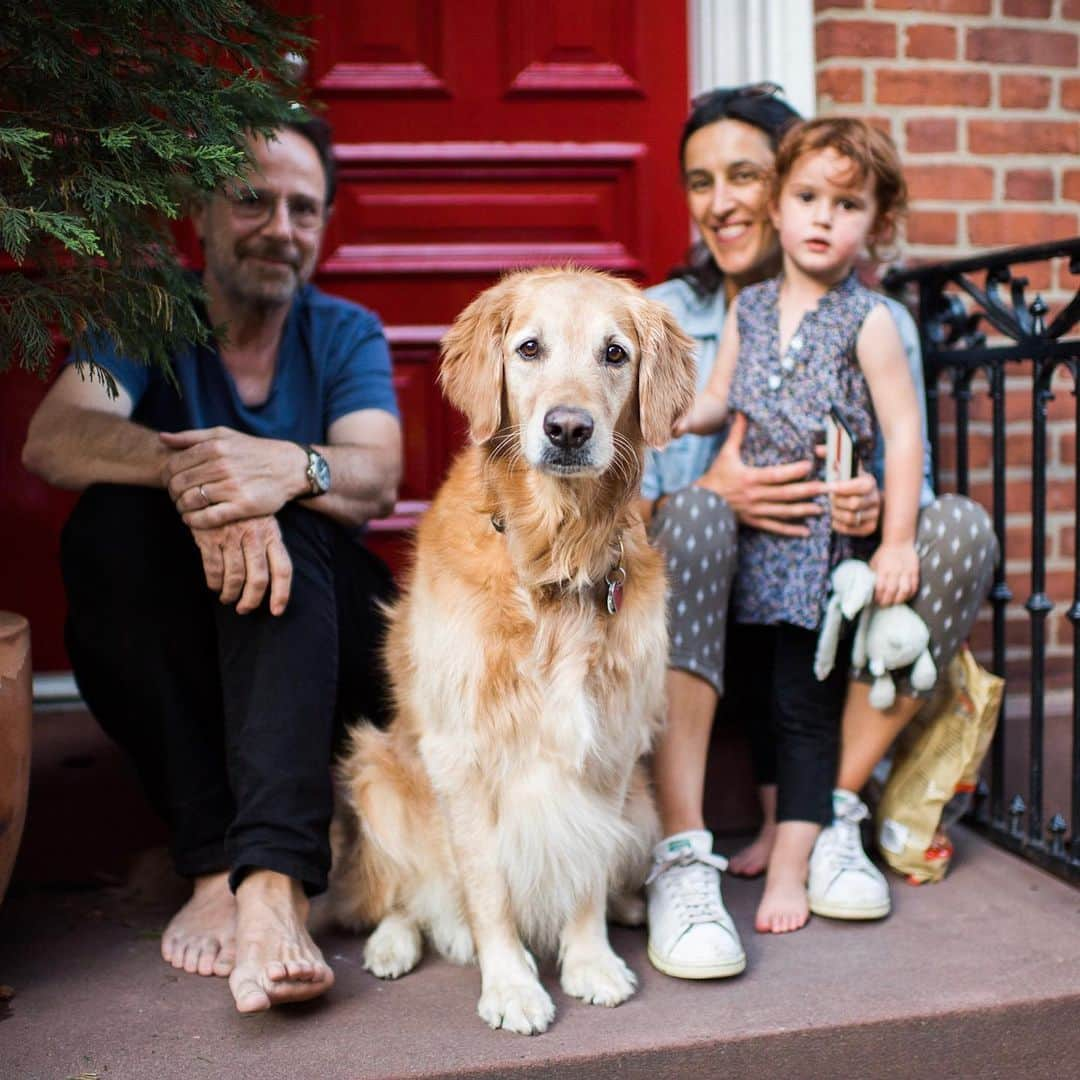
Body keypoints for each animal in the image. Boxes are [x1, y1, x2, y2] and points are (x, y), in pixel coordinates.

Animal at [332, 265, 695, 1032]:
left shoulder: (608, 747)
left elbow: (584, 866)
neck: (553, 559)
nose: (568, 427)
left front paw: (590, 961)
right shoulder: (460, 754)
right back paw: (394, 943)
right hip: (376, 771)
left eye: (614, 354)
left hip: (643, 804)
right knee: (402, 894)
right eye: (529, 348)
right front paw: (511, 986)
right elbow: (488, 886)